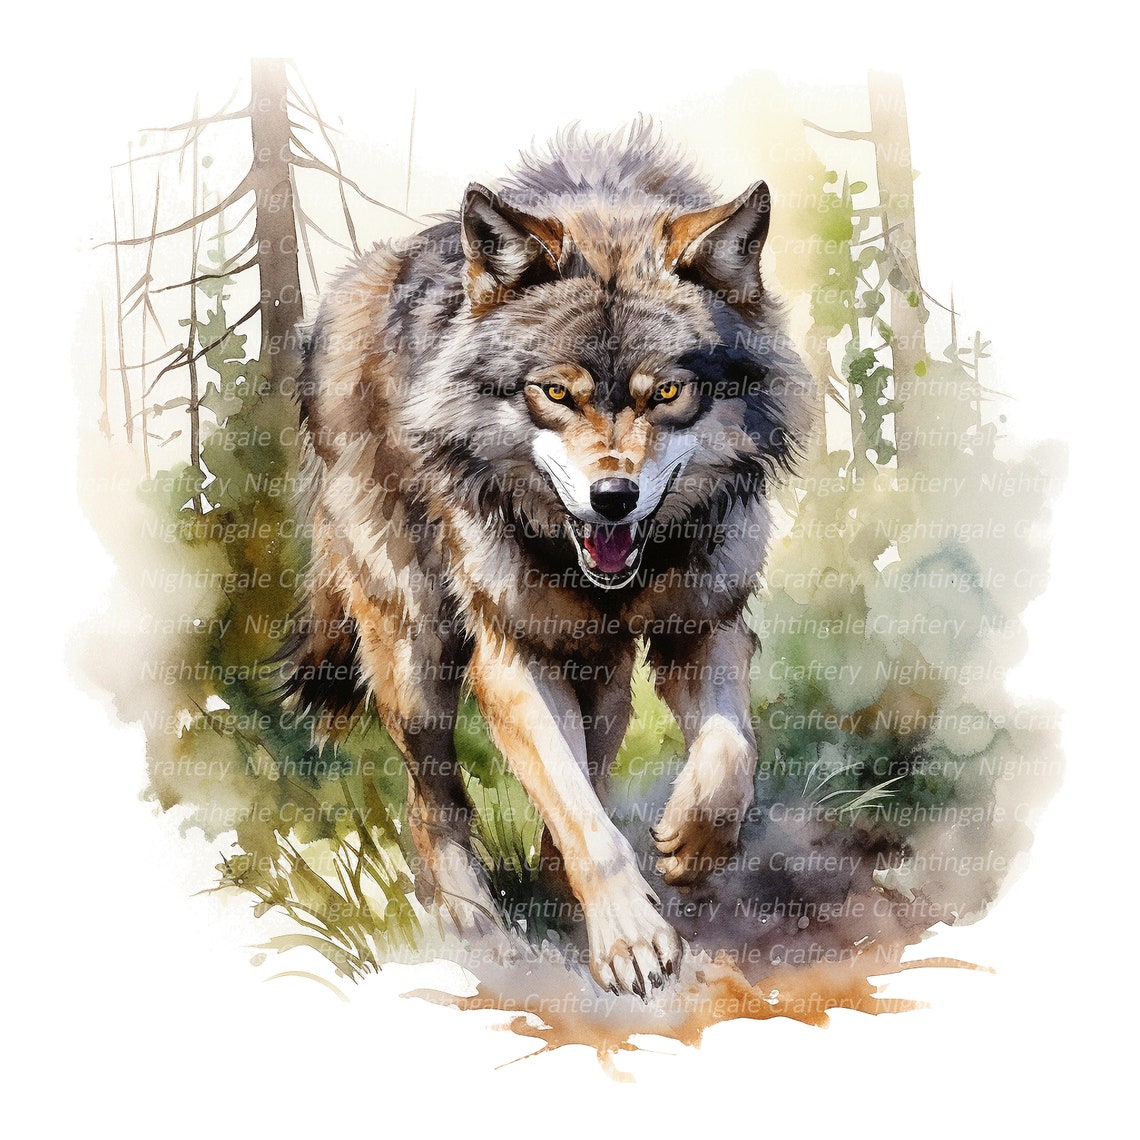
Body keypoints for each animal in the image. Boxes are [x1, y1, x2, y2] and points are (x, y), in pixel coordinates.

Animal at [287, 122, 814, 998]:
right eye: (556, 393)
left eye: (667, 393)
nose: (613, 498)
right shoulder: (513, 657)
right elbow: (582, 819)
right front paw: (630, 939)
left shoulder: (704, 627)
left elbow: (728, 751)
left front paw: (690, 843)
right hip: (417, 655)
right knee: (432, 799)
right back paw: (471, 917)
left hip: (600, 672)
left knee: (593, 757)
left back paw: (552, 883)